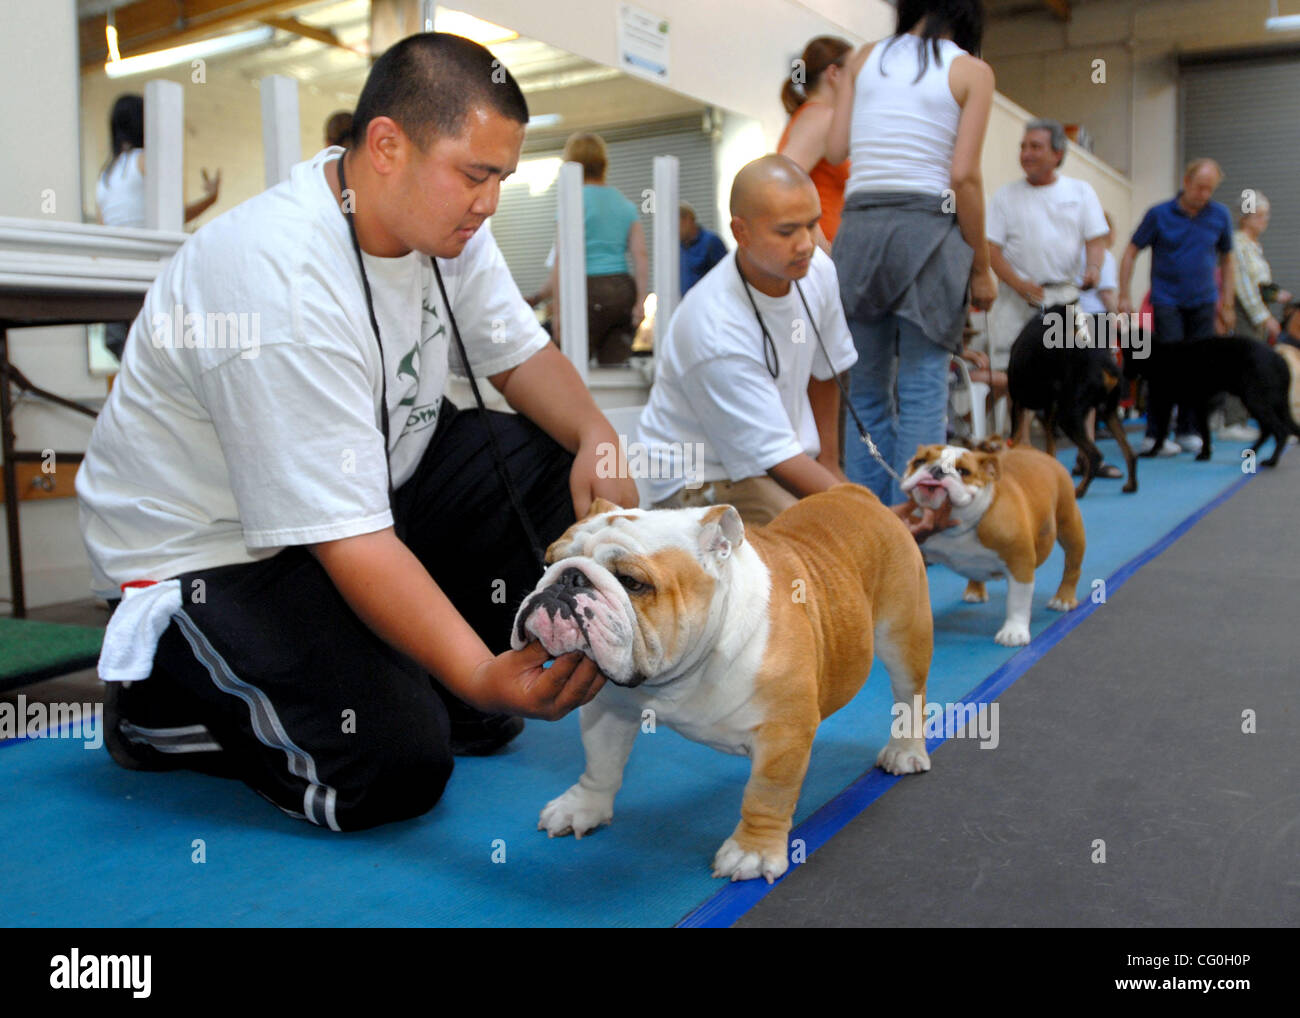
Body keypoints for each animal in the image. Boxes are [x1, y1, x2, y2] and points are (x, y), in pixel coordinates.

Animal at [1003, 304, 1138, 499]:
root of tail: (1107, 366)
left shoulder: (1018, 403)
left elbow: (1014, 440)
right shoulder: (1049, 409)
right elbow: (1051, 448)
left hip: (1068, 416)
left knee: (1095, 456)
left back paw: (1079, 490)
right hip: (1106, 411)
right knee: (1130, 453)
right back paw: (1131, 485)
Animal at [1128, 335, 1300, 468]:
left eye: (1128, 354)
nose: (1124, 373)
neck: (1159, 356)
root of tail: (1279, 359)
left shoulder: (1167, 404)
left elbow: (1162, 433)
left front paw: (1152, 452)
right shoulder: (1199, 405)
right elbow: (1205, 432)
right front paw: (1206, 454)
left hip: (1256, 402)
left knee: (1280, 431)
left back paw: (1272, 461)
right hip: (1264, 403)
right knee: (1268, 431)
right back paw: (1252, 452)